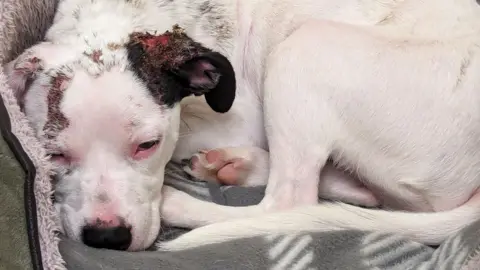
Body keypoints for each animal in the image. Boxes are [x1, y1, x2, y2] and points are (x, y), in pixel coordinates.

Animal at [4, 0, 480, 251]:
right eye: (53, 154)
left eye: (148, 145)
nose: (108, 238)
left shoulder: (240, 118)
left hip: (304, 50)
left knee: (289, 202)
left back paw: (189, 198)